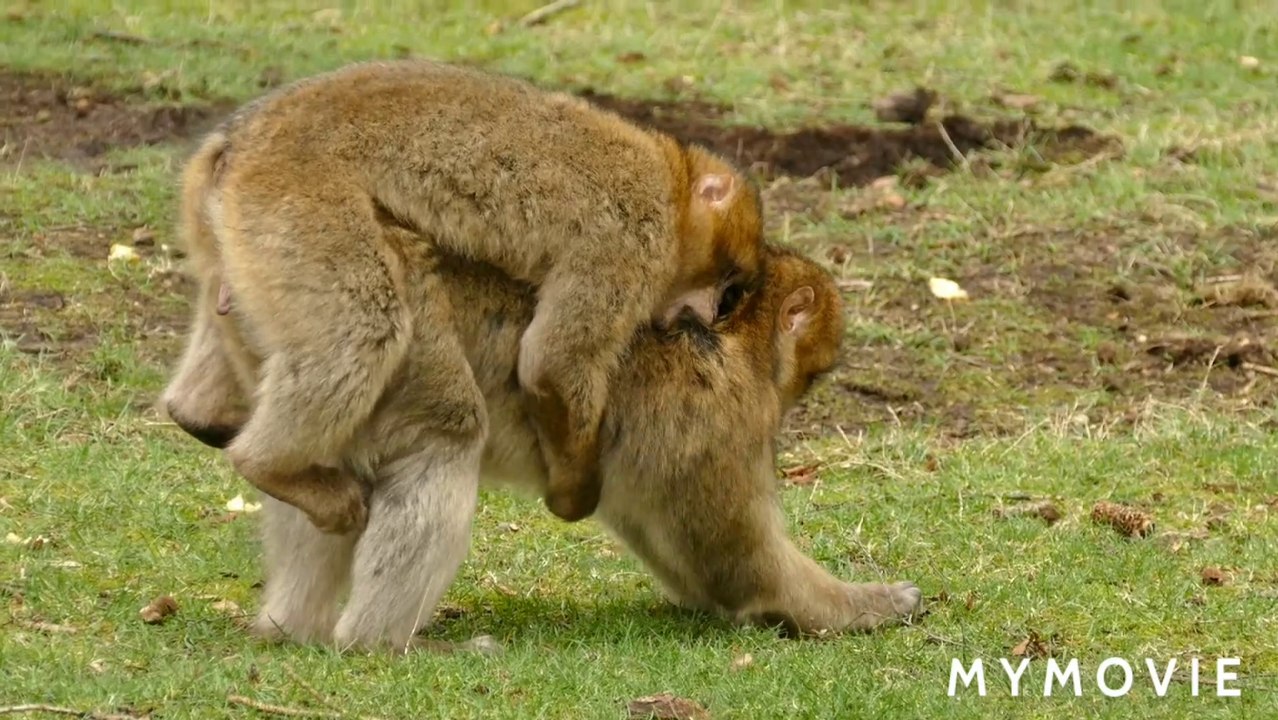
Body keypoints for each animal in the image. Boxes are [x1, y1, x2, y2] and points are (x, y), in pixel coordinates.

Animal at [162, 135, 922, 651]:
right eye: (812, 372)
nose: (795, 402)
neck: (732, 340)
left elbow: (678, 545)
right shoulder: (717, 421)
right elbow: (737, 559)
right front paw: (860, 605)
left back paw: (290, 624)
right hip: (377, 323)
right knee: (442, 438)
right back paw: (379, 640)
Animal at [178, 59, 765, 534]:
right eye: (729, 287)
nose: (704, 314)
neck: (671, 183)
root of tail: (240, 139)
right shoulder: (632, 242)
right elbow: (552, 362)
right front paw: (574, 492)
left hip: (234, 225)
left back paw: (197, 414)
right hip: (292, 196)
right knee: (361, 329)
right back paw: (266, 465)